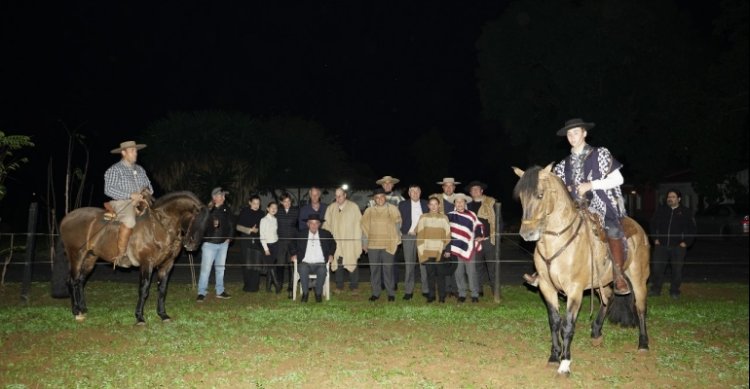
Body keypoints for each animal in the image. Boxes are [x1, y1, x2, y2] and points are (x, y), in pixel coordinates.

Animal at [57, 189, 210, 322]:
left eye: (207, 223)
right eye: (194, 219)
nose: (191, 245)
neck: (159, 227)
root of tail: (66, 218)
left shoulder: (167, 264)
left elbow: (162, 290)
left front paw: (163, 314)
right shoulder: (146, 263)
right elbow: (144, 289)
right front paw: (139, 317)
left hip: (90, 258)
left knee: (80, 281)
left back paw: (83, 308)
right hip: (76, 256)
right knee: (72, 281)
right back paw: (76, 311)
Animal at [516, 164, 648, 376]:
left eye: (540, 195)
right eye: (521, 197)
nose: (527, 234)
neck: (558, 241)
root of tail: (639, 230)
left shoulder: (575, 290)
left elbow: (568, 325)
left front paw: (565, 363)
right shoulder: (546, 287)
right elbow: (555, 322)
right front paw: (554, 356)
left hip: (638, 279)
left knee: (641, 307)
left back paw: (643, 344)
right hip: (603, 282)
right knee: (608, 298)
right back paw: (596, 332)